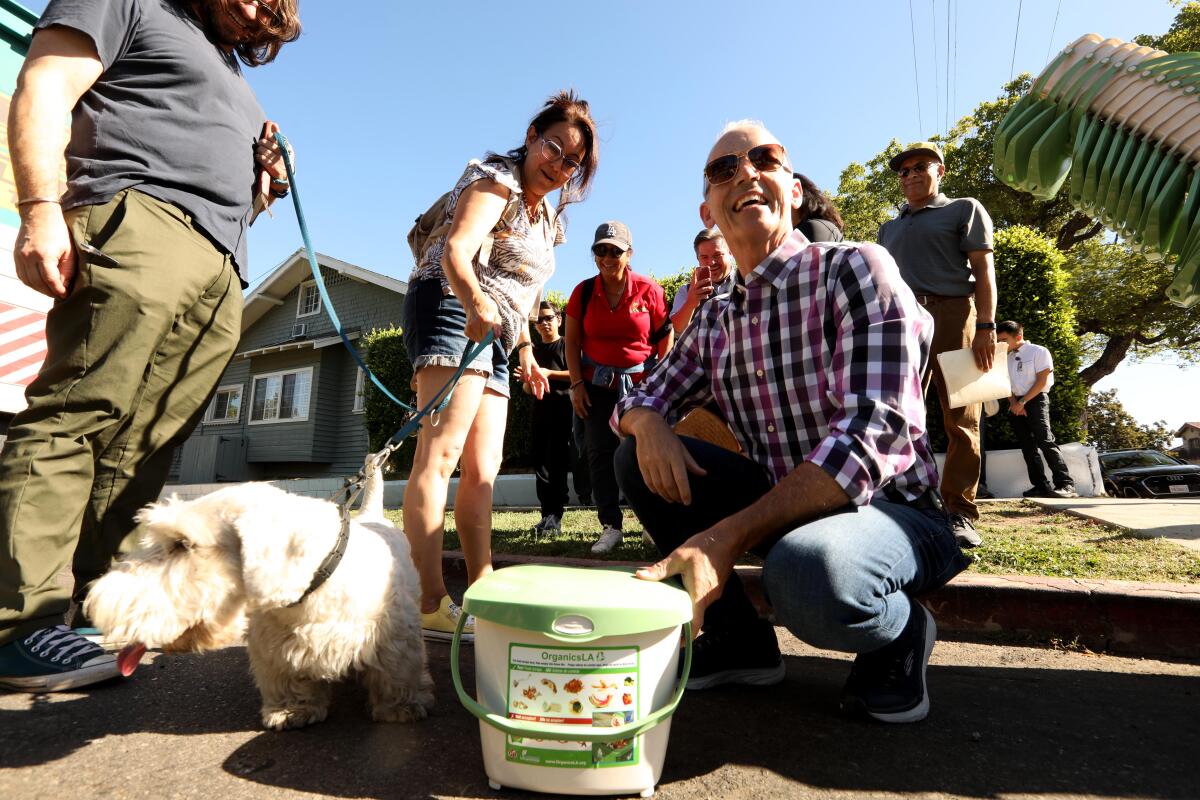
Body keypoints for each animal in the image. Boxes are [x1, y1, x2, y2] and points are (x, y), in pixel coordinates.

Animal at [84, 460, 434, 729]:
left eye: (182, 544)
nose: (95, 603)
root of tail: (371, 516)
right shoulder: (274, 649)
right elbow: (288, 679)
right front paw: (292, 710)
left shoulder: (396, 639)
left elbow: (397, 675)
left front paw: (400, 708)